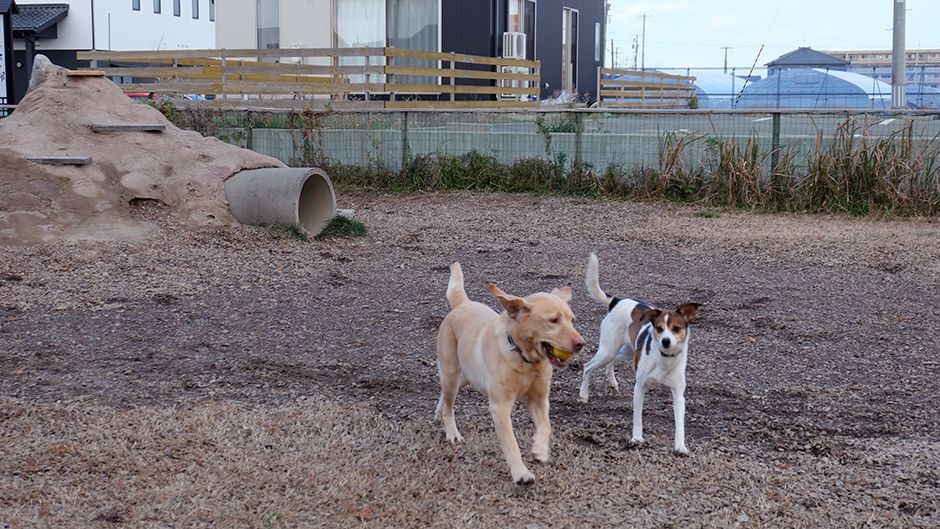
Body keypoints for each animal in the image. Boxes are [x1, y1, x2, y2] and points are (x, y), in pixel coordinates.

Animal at [436, 262, 584, 484]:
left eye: (572, 320)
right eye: (554, 320)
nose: (581, 343)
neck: (525, 360)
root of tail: (463, 303)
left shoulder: (539, 399)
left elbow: (546, 426)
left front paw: (540, 450)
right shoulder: (500, 406)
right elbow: (511, 443)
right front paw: (521, 473)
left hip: (467, 377)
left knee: (444, 397)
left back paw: (438, 413)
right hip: (452, 374)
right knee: (449, 405)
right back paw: (451, 432)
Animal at [576, 252, 700, 454]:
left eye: (676, 328)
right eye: (659, 328)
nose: (666, 341)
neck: (664, 359)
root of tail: (616, 301)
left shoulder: (678, 394)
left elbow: (679, 423)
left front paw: (680, 446)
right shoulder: (639, 387)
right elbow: (637, 418)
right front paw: (636, 438)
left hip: (627, 351)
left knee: (611, 362)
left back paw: (612, 382)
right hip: (608, 350)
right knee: (588, 366)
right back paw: (583, 395)